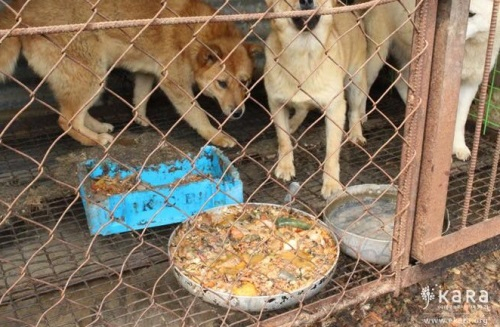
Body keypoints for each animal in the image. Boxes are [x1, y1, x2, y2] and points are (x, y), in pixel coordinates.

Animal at [0, 0, 258, 147]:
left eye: (245, 83)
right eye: (222, 83)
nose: (238, 113)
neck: (194, 32)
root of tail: (19, 12)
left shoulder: (147, 73)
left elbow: (140, 99)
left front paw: (140, 118)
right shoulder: (174, 82)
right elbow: (197, 114)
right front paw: (216, 136)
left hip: (90, 76)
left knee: (75, 114)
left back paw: (97, 128)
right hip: (93, 74)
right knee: (66, 120)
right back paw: (94, 141)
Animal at [264, 0, 366, 200]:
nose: (306, 1)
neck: (304, 52)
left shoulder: (335, 109)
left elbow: (332, 152)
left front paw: (331, 183)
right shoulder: (276, 105)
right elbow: (283, 140)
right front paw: (285, 165)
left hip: (356, 84)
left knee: (354, 111)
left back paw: (356, 133)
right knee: (301, 109)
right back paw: (293, 123)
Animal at [360, 0, 500, 161]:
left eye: (470, 14)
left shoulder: (471, 84)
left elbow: (460, 120)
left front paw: (459, 147)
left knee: (400, 83)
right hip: (378, 56)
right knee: (365, 84)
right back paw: (361, 115)